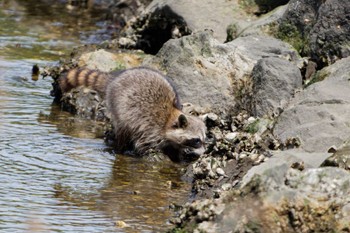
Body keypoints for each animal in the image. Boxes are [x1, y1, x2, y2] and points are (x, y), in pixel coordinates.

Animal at [58, 67, 206, 162]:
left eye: (204, 139)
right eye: (196, 140)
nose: (203, 154)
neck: (170, 118)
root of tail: (114, 79)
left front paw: (178, 155)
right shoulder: (150, 128)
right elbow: (144, 144)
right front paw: (157, 155)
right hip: (119, 106)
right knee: (123, 129)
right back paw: (120, 148)